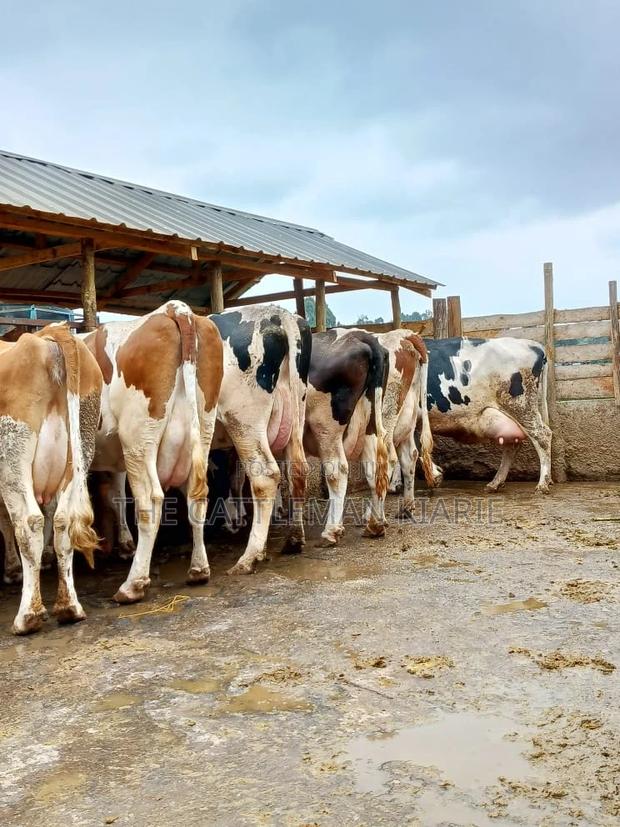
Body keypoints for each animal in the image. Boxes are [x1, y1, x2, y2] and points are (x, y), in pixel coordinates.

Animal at [0, 323, 101, 634]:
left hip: (12, 455)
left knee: (28, 523)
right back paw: (69, 607)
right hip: (81, 445)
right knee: (62, 521)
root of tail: (46, 336)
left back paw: (27, 616)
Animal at [83, 300, 223, 603]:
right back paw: (199, 569)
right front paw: (124, 545)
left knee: (149, 500)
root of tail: (174, 309)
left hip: (138, 437)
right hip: (202, 428)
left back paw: (133, 585)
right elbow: (116, 495)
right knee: (197, 496)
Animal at [302, 328, 389, 546]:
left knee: (337, 470)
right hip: (370, 425)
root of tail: (360, 335)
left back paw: (332, 530)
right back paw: (376, 524)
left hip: (325, 426)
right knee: (375, 469)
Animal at [415, 336, 552, 493]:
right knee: (513, 444)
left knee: (543, 436)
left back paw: (542, 484)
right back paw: (495, 483)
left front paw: (434, 476)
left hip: (521, 406)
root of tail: (534, 345)